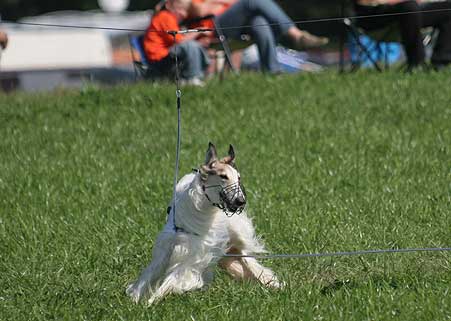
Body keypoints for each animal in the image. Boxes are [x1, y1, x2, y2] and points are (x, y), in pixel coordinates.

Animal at [127, 143, 280, 304]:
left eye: (238, 177)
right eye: (223, 176)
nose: (241, 201)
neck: (198, 211)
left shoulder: (196, 256)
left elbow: (173, 280)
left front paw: (150, 302)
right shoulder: (167, 248)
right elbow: (149, 275)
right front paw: (135, 298)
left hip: (235, 236)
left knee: (248, 259)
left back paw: (272, 281)